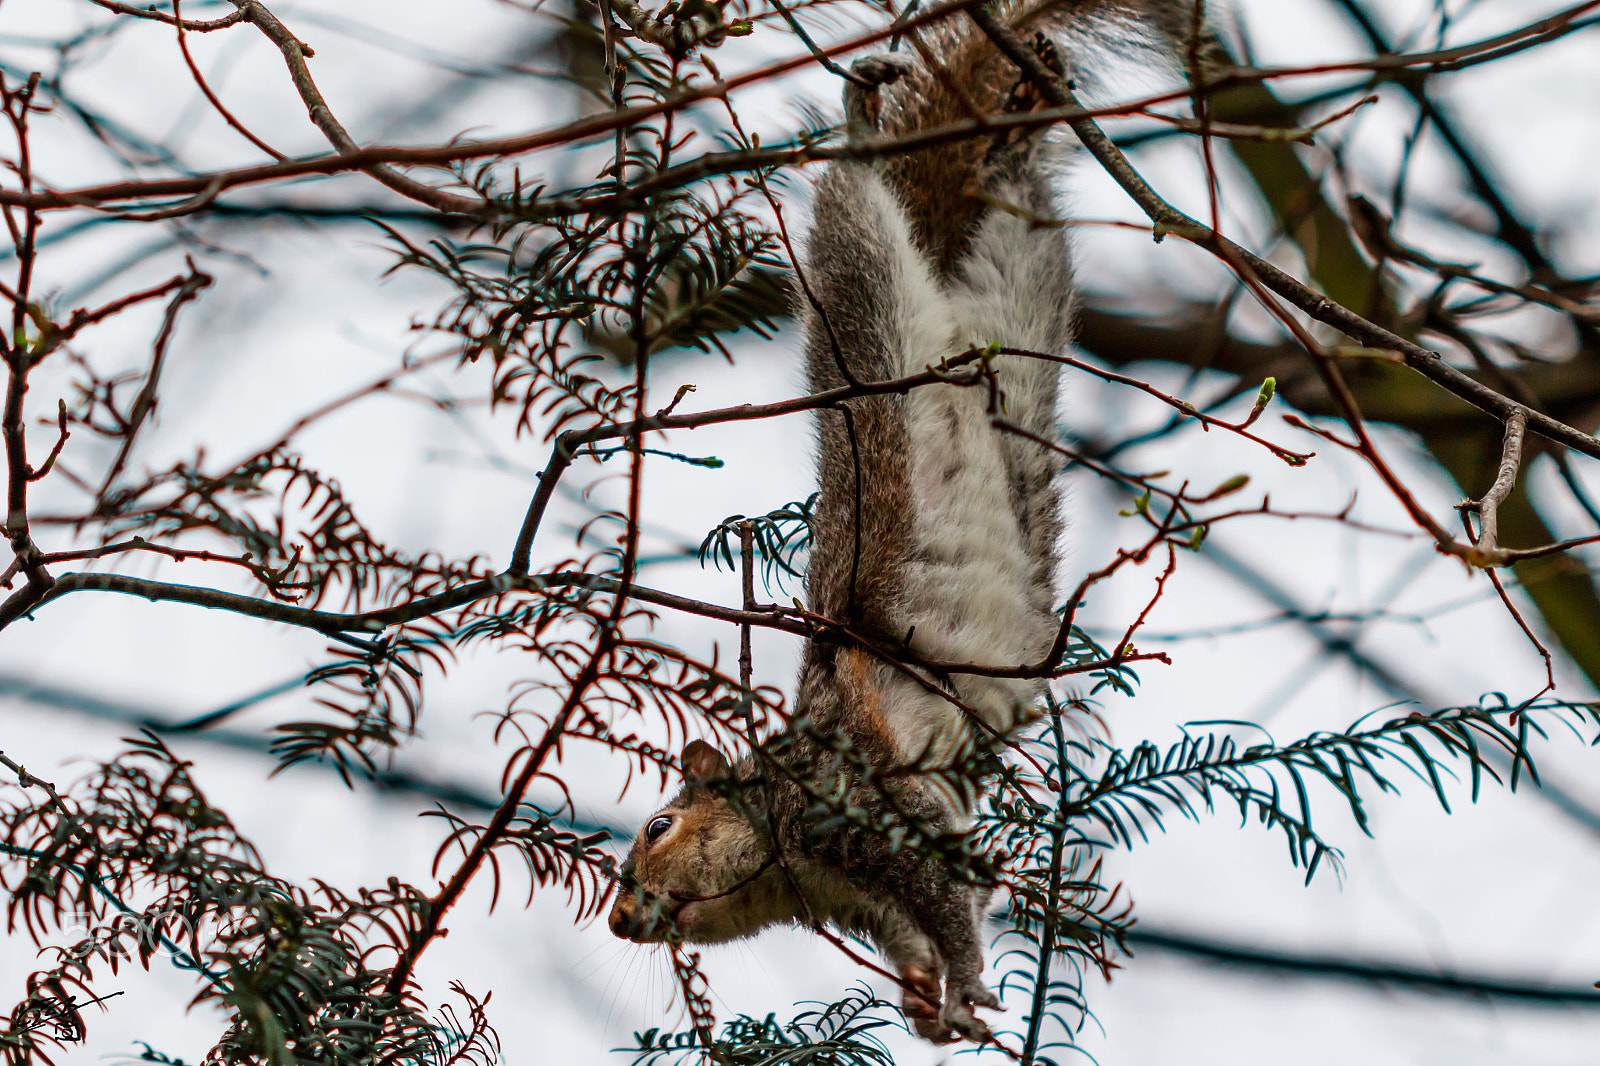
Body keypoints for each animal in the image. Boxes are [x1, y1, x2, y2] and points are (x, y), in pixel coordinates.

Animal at [610, 0, 1193, 1044]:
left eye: (658, 828)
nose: (619, 917)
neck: (788, 856)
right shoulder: (859, 897)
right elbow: (914, 927)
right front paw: (926, 1000)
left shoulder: (861, 802)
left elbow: (947, 888)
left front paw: (964, 982)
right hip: (1022, 295)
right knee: (1012, 208)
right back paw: (1019, 121)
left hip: (860, 311)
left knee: (855, 210)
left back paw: (862, 123)